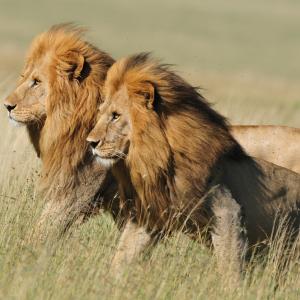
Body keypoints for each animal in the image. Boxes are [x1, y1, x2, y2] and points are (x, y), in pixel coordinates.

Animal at [86, 52, 300, 278]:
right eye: (101, 113)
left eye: (115, 116)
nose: (90, 142)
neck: (157, 157)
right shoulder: (150, 215)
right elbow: (122, 256)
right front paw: (107, 281)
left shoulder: (227, 210)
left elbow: (230, 267)